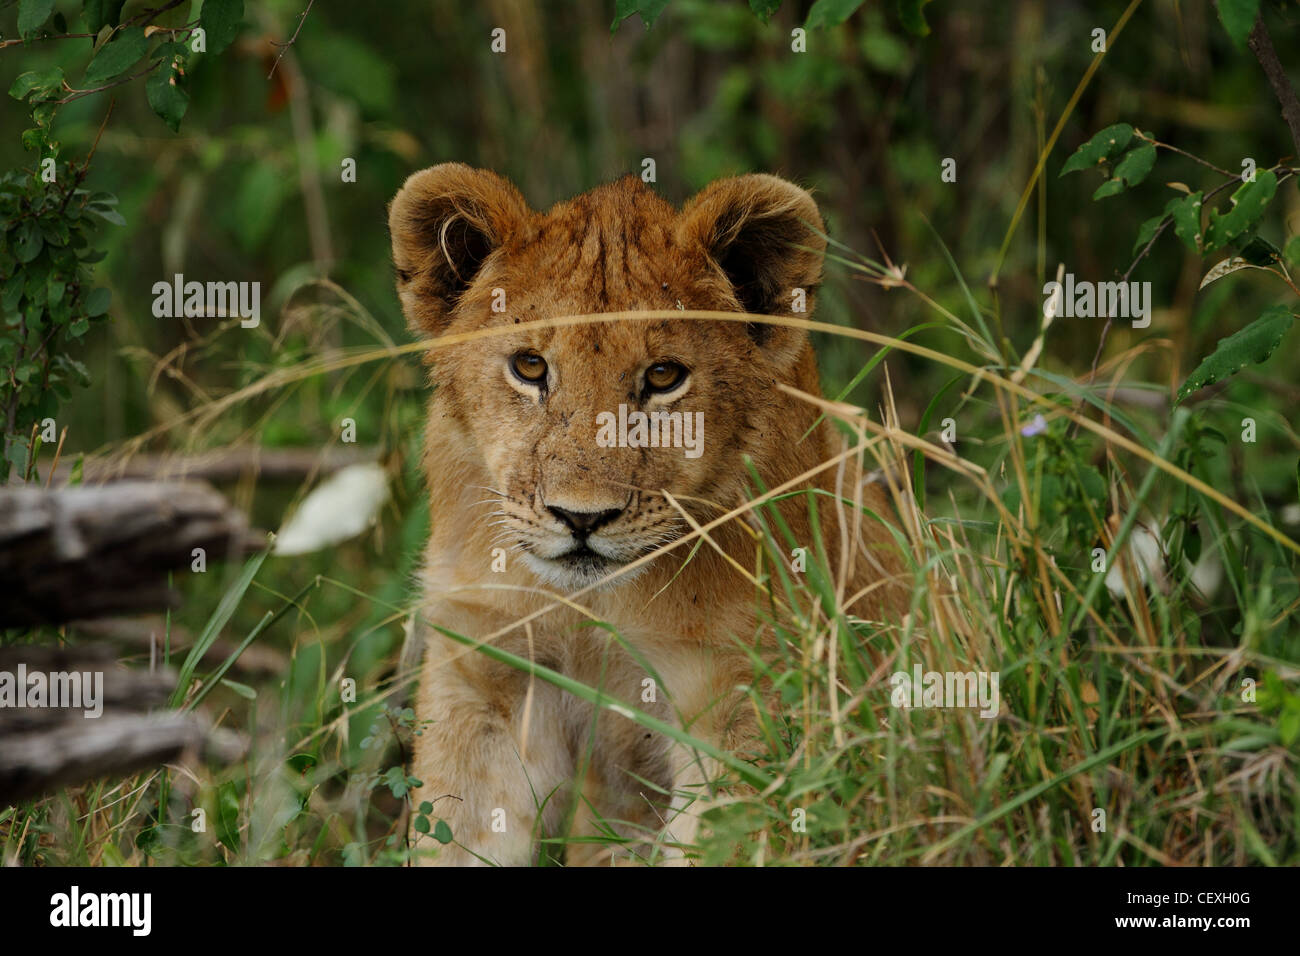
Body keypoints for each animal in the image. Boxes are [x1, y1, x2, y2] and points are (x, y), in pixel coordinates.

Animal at [388, 164, 906, 866]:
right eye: (530, 366)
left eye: (663, 377)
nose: (581, 518)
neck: (594, 604)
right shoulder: (486, 672)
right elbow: (457, 834)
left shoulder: (742, 698)